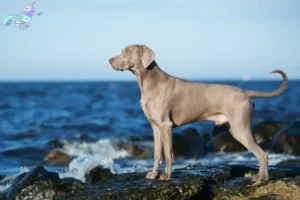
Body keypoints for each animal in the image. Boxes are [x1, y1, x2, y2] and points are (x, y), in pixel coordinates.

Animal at [109, 44, 288, 182]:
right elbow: (157, 154)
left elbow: (168, 154)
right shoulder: (156, 127)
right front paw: (153, 175)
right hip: (237, 128)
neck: (149, 81)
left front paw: (166, 176)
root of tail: (246, 92)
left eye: (127, 51)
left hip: (240, 128)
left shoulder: (166, 125)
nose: (110, 60)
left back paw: (262, 179)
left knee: (262, 154)